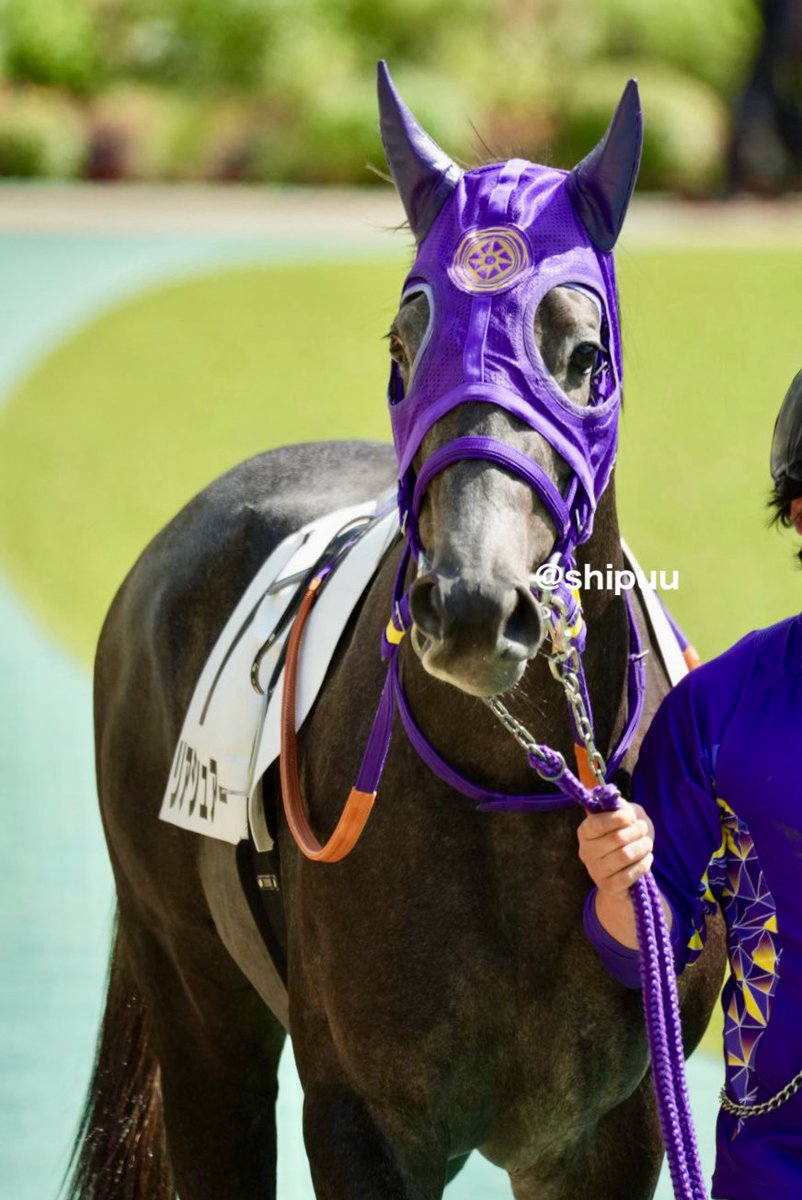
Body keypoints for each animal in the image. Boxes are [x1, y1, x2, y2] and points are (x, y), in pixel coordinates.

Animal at [67, 64, 725, 1200]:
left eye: (584, 355)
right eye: (401, 346)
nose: (471, 606)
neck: (515, 800)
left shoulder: (614, 1131)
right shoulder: (362, 1123)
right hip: (201, 1020)